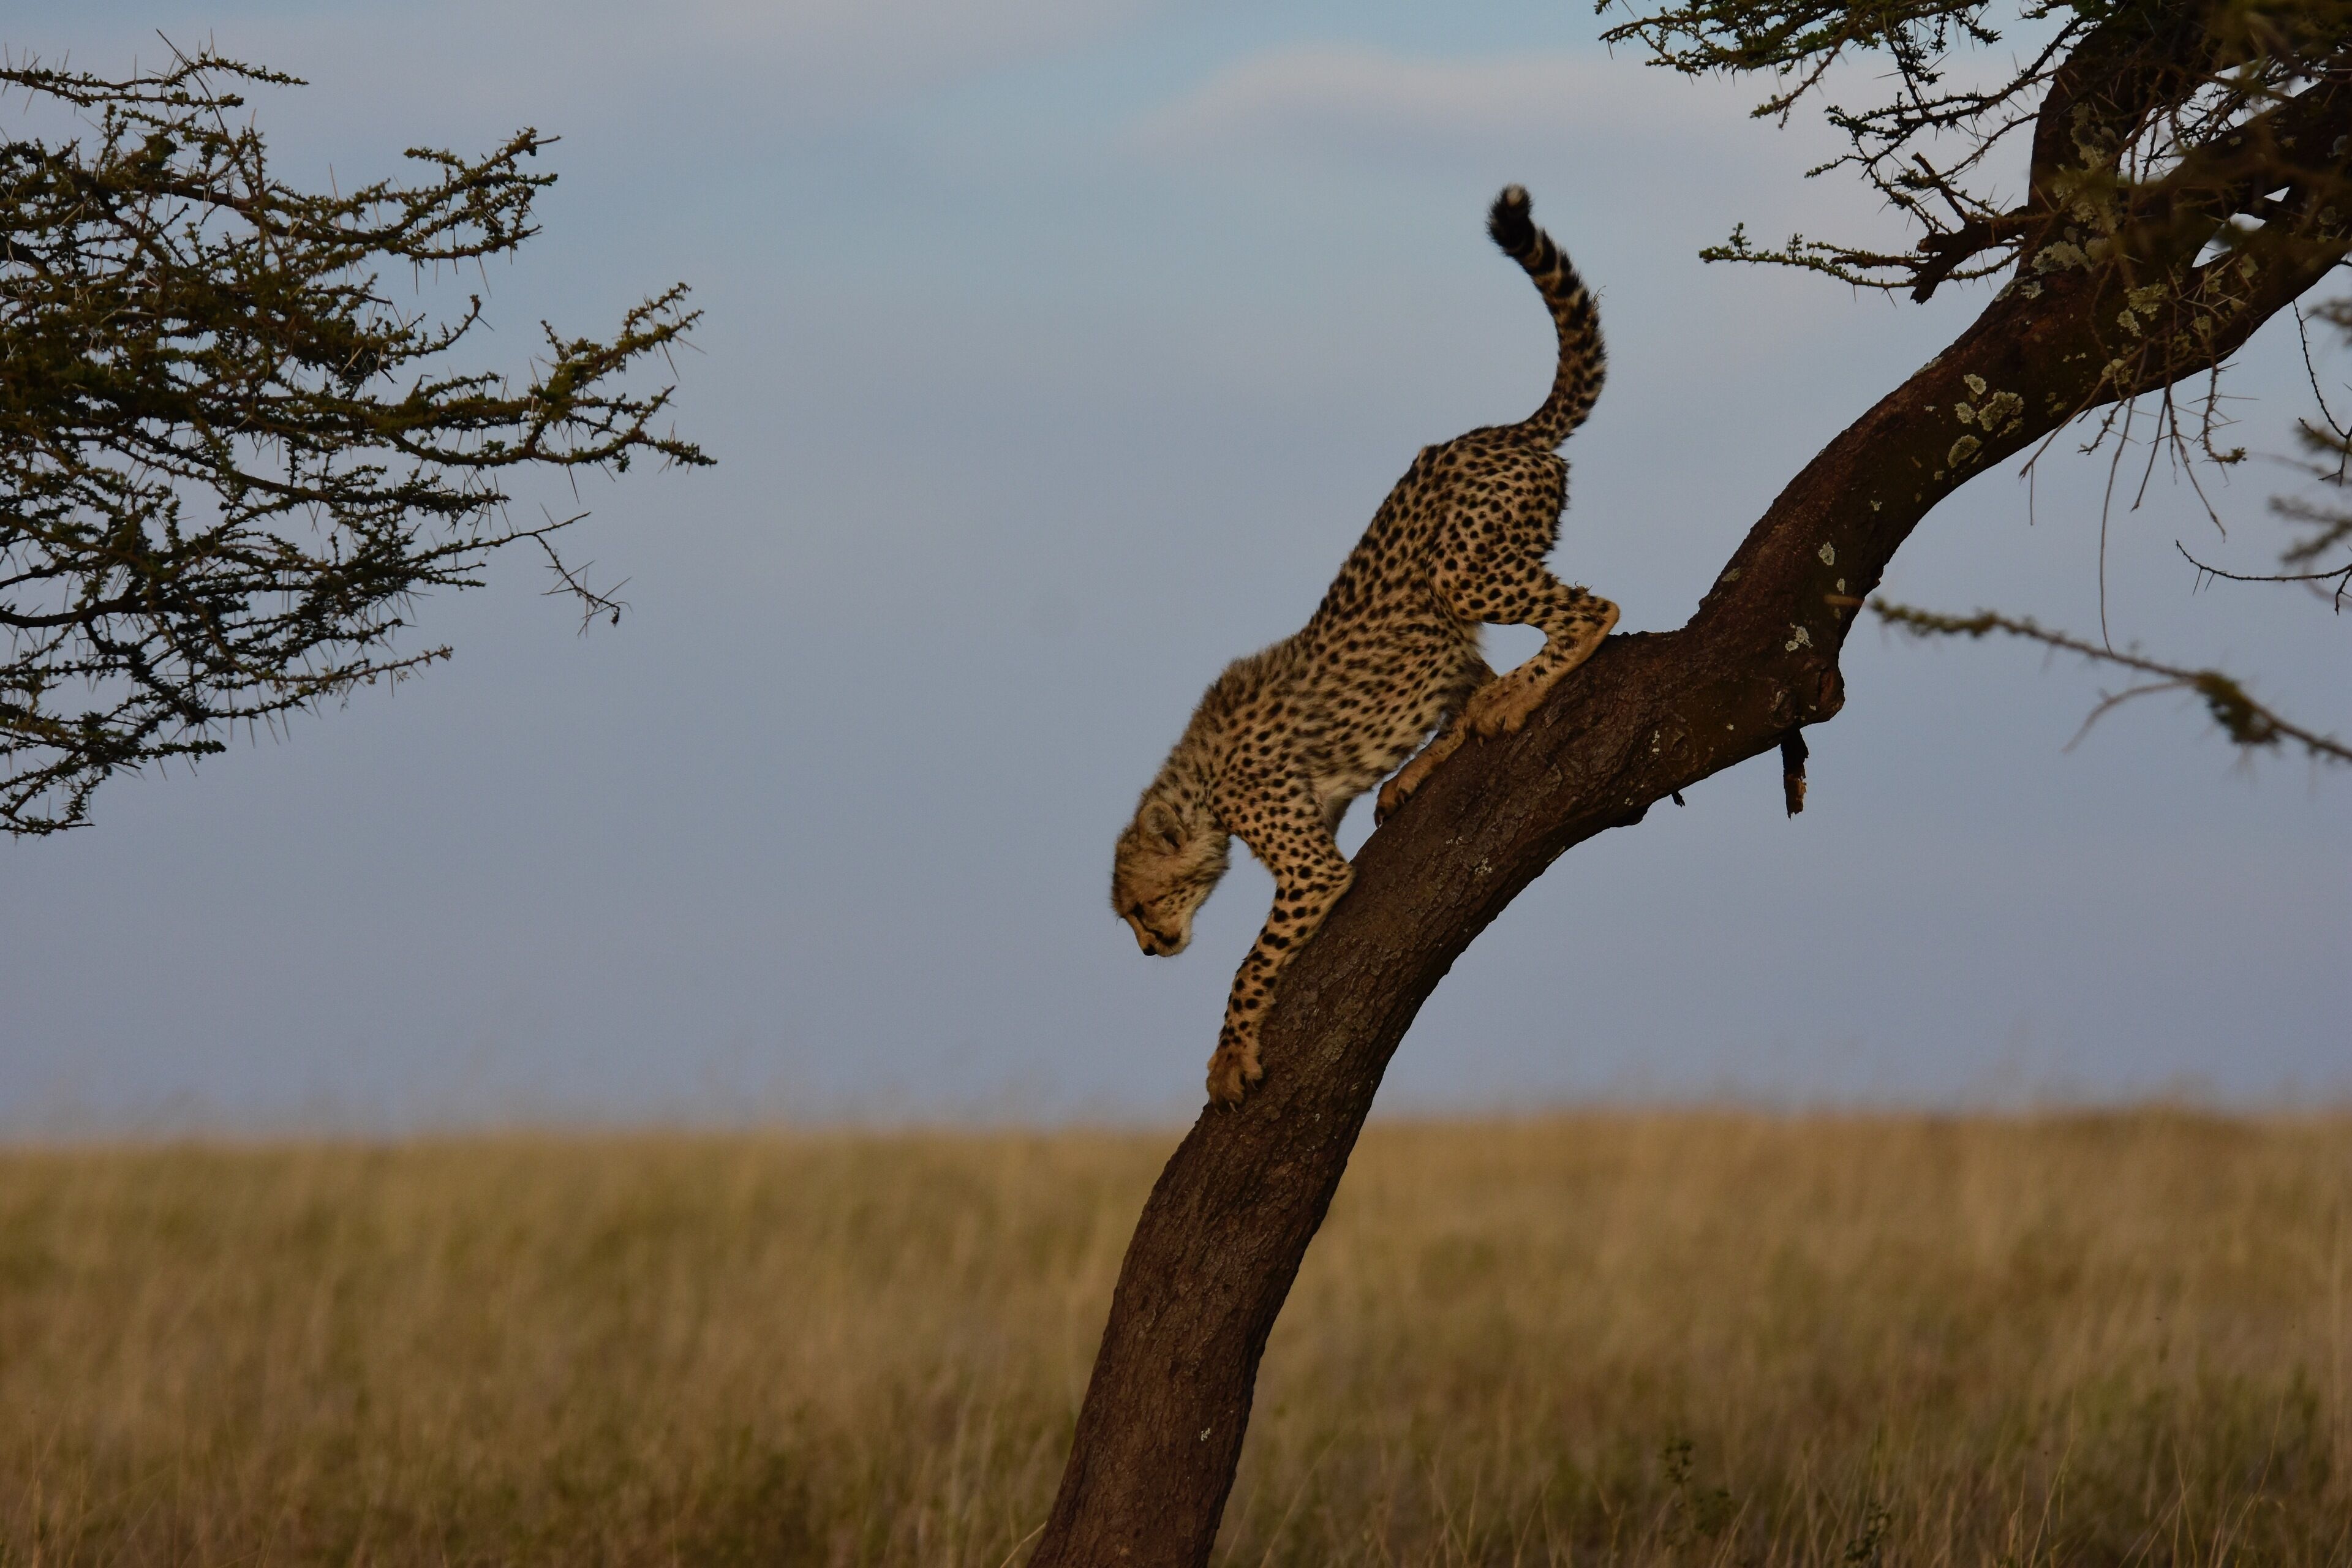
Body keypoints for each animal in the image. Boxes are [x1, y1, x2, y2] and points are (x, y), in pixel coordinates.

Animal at [1110, 185, 1616, 1107]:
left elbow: (1248, 964)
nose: (1151, 946)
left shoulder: (1311, 866)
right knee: (1488, 666)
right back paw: (1452, 740)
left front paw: (1229, 1057)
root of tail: (1498, 431)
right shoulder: (1336, 798)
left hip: (1462, 568)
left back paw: (1518, 697)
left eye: (1137, 907)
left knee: (1592, 609)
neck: (1199, 783)